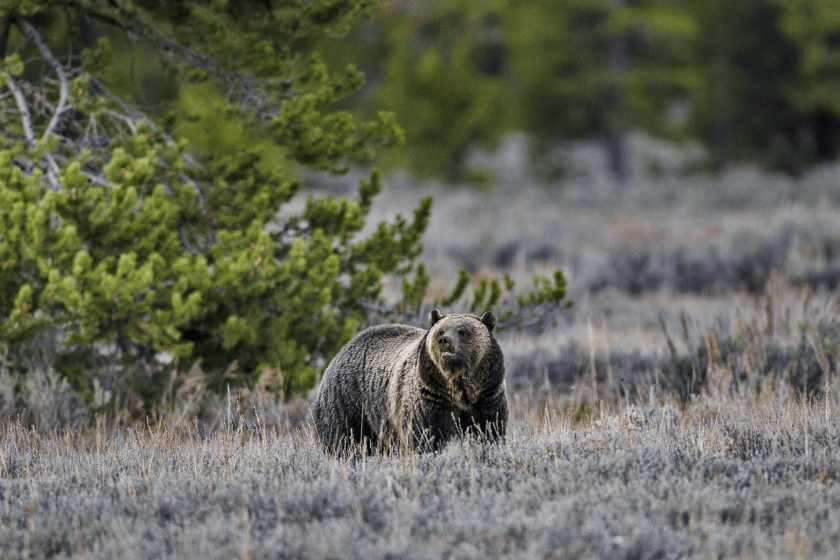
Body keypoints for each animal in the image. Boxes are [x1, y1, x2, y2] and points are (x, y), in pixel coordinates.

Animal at [311, 309, 507, 454]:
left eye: (462, 331)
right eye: (441, 330)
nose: (444, 340)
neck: (457, 387)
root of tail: (342, 350)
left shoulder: (486, 397)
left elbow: (490, 430)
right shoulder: (429, 399)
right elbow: (424, 435)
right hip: (348, 402)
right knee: (343, 438)